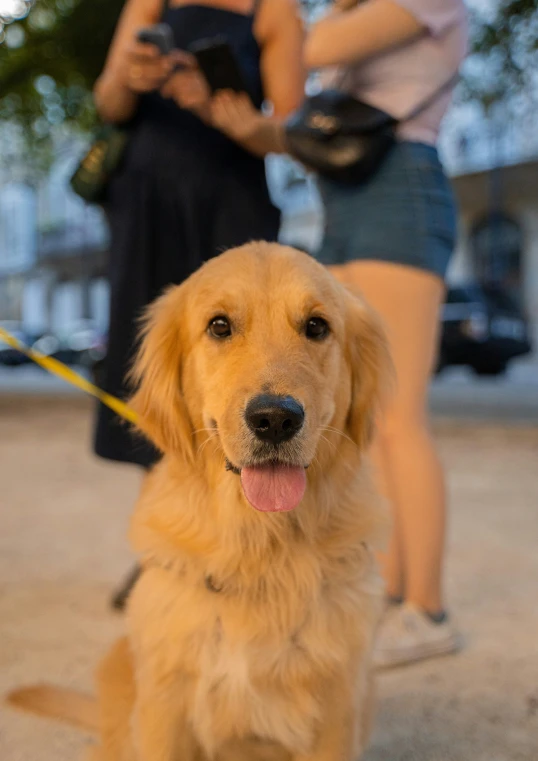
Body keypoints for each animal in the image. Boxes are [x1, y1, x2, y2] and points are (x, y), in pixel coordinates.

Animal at [8, 242, 390, 760]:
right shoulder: (165, 705)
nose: (275, 419)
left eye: (316, 326)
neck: (258, 544)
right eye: (219, 326)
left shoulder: (337, 709)